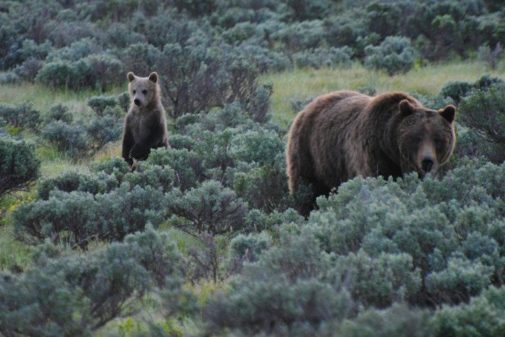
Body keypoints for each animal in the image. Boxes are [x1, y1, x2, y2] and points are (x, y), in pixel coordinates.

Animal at [286, 90, 454, 213]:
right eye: (417, 137)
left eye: (438, 139)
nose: (427, 161)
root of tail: (306, 108)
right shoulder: (373, 155)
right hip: (310, 154)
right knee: (307, 191)